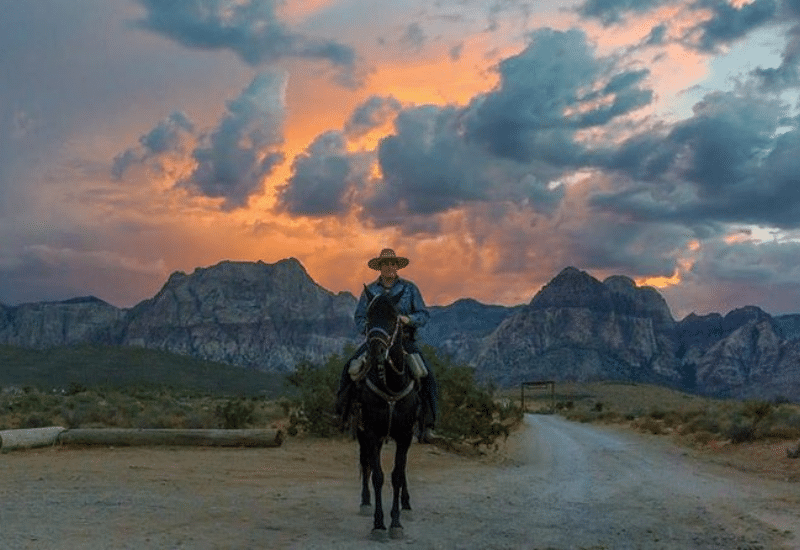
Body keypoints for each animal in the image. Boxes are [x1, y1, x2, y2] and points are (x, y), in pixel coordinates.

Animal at [354, 286, 422, 540]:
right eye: (368, 317)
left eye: (395, 317)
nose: (377, 351)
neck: (391, 384)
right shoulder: (371, 432)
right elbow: (378, 475)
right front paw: (378, 524)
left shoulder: (405, 435)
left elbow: (397, 475)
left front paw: (396, 523)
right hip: (363, 433)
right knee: (365, 463)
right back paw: (365, 502)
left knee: (402, 472)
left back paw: (407, 504)